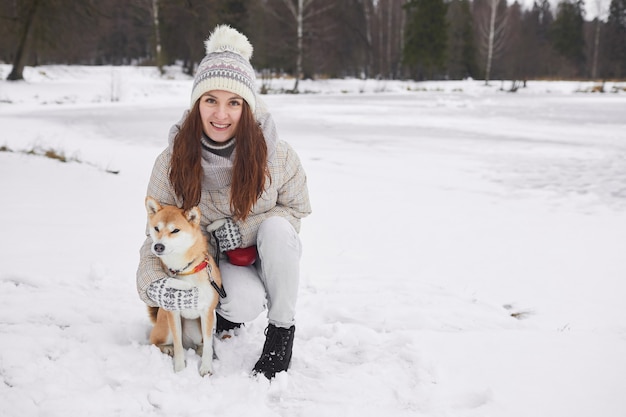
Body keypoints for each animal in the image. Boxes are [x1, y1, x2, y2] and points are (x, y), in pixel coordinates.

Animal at [144, 197, 224, 376]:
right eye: (156, 228)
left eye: (175, 230)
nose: (158, 246)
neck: (186, 269)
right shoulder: (173, 313)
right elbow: (178, 345)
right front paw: (180, 369)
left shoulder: (207, 312)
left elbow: (208, 344)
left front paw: (206, 368)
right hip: (166, 328)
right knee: (155, 342)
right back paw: (167, 349)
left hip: (197, 328)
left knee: (201, 343)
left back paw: (200, 350)